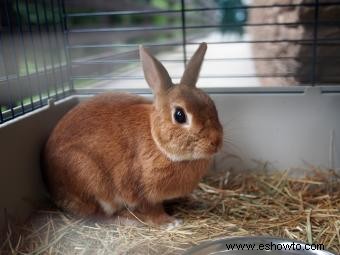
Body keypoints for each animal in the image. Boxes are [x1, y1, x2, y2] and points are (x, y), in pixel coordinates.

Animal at [42, 42, 223, 226]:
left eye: (213, 105)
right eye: (180, 115)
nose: (216, 142)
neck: (158, 143)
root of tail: (51, 187)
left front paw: (194, 200)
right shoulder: (139, 190)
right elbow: (152, 209)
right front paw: (169, 222)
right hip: (87, 175)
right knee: (98, 214)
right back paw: (127, 219)